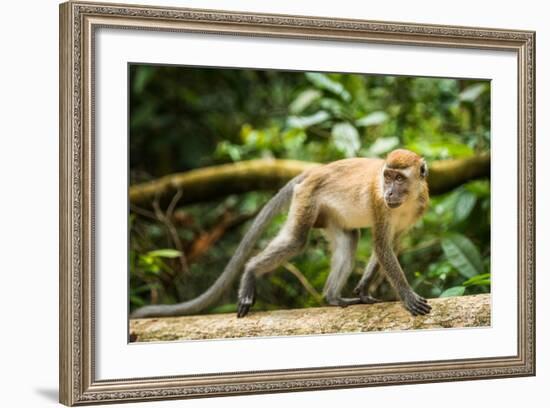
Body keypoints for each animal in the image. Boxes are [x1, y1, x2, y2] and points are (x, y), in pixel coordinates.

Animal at [132, 148, 434, 320]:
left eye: (399, 178)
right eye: (387, 176)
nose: (389, 192)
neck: (407, 200)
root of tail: (315, 171)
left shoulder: (417, 208)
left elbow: (388, 246)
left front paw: (363, 289)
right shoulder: (378, 203)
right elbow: (382, 247)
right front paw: (407, 295)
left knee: (349, 240)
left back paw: (333, 297)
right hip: (307, 198)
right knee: (296, 241)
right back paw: (250, 272)